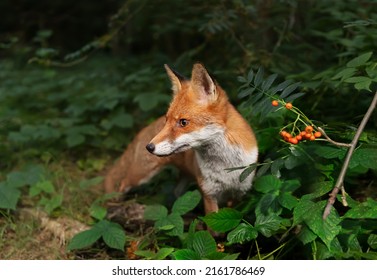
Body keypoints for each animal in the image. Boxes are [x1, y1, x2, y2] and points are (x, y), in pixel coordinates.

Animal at [106, 63, 258, 214]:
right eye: (167, 120)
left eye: (183, 122)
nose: (149, 147)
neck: (226, 166)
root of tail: (144, 128)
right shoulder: (209, 194)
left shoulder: (239, 193)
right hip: (140, 175)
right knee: (122, 184)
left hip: (183, 176)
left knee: (176, 192)